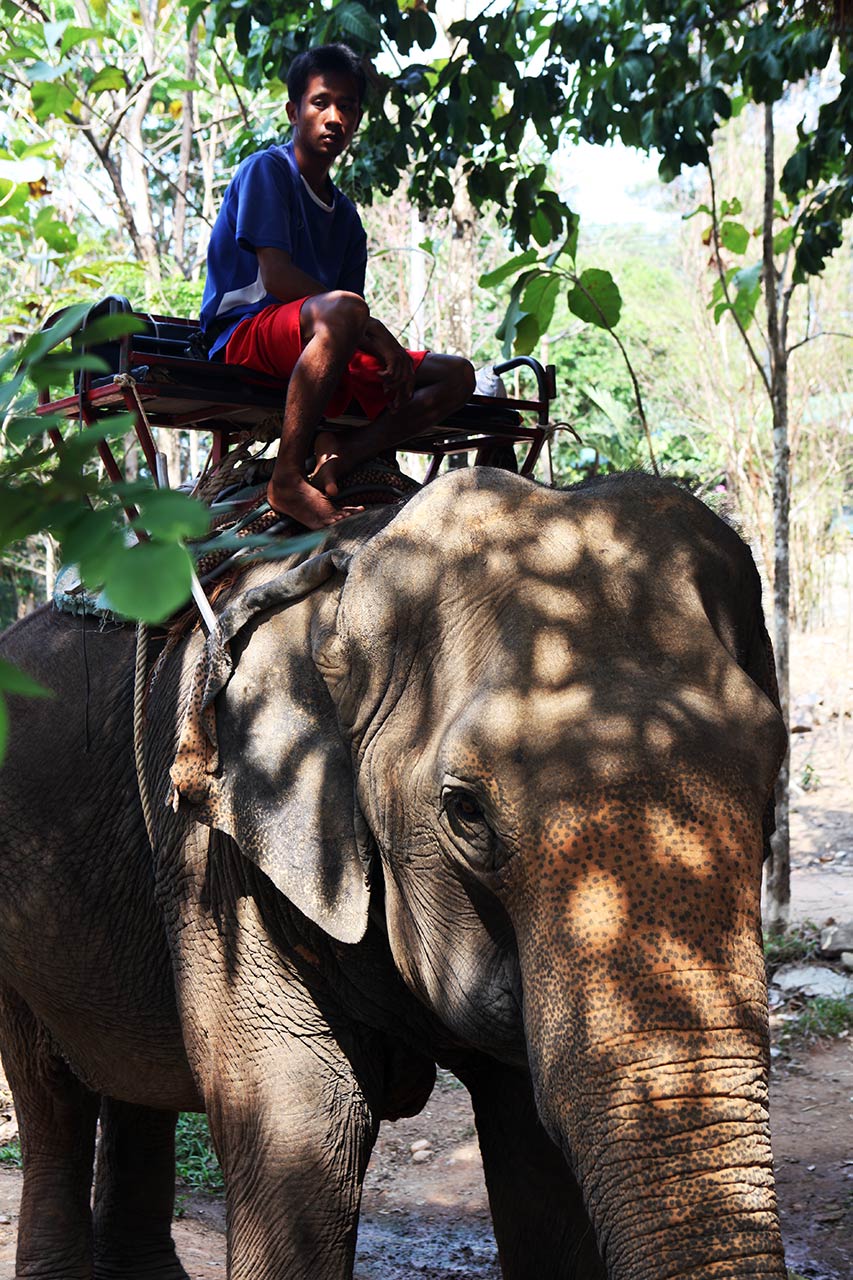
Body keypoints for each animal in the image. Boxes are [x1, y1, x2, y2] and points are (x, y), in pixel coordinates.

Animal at [0, 467, 788, 1280]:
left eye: (774, 779)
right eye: (466, 811)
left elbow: (530, 1141)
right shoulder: (219, 854)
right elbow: (304, 1121)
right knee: (50, 1089)